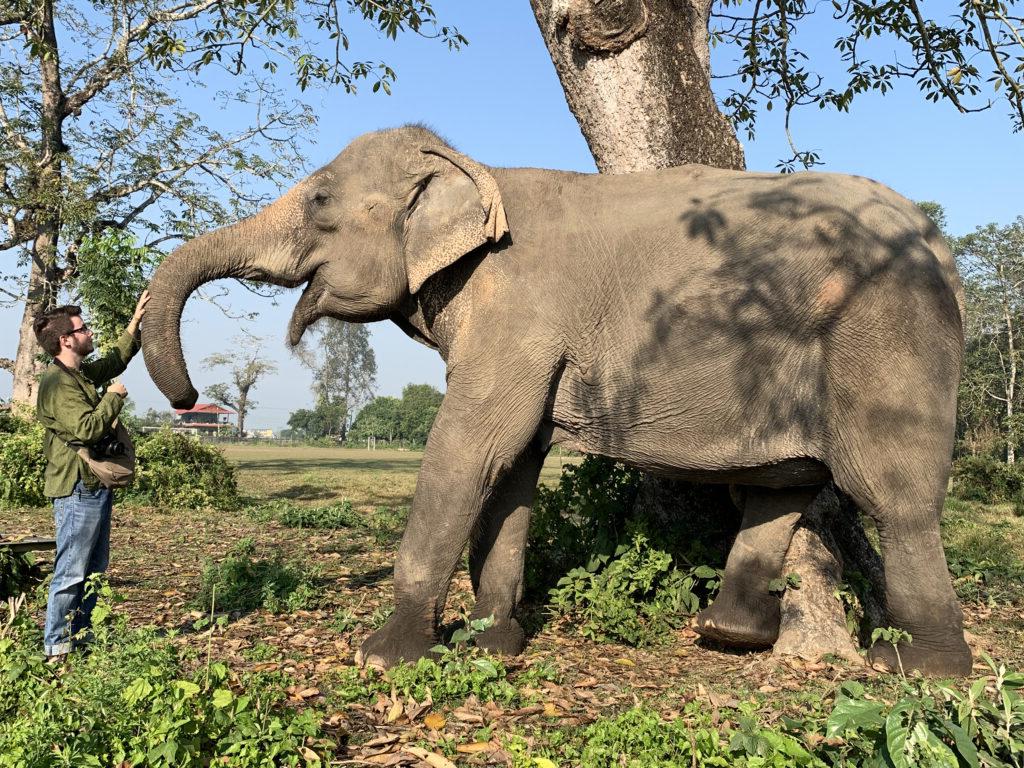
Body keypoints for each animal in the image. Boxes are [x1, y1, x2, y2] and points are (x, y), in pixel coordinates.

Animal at [142, 126, 966, 679]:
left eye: (319, 200)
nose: (188, 398)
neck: (476, 169)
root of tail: (943, 247)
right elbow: (513, 463)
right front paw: (491, 644)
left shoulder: (518, 312)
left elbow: (471, 446)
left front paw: (385, 657)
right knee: (778, 486)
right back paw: (727, 635)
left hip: (887, 339)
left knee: (893, 497)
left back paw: (921, 671)